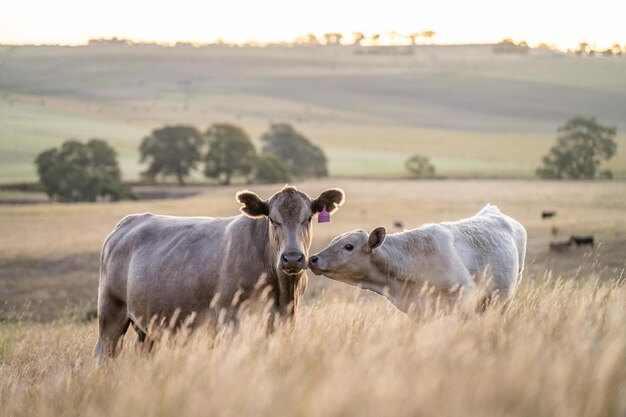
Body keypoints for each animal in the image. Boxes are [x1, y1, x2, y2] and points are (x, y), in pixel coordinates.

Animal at [95, 185, 344, 358]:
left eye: (308, 218)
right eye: (273, 220)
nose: (292, 257)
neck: (283, 290)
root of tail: (129, 221)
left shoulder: (285, 319)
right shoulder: (230, 319)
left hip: (148, 325)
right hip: (111, 312)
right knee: (105, 352)